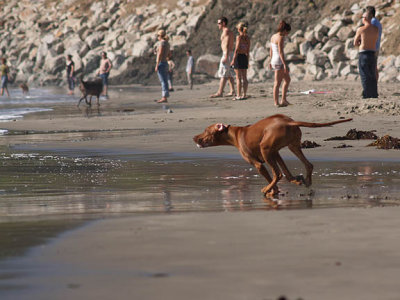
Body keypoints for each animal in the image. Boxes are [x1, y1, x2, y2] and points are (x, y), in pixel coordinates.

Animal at [194, 113, 354, 196]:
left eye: (206, 130)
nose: (194, 137)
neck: (236, 134)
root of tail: (289, 121)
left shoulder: (258, 163)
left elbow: (273, 176)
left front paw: (273, 190)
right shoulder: (275, 153)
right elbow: (287, 174)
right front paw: (295, 181)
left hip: (265, 149)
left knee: (278, 174)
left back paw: (266, 189)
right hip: (291, 146)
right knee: (307, 165)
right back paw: (306, 180)